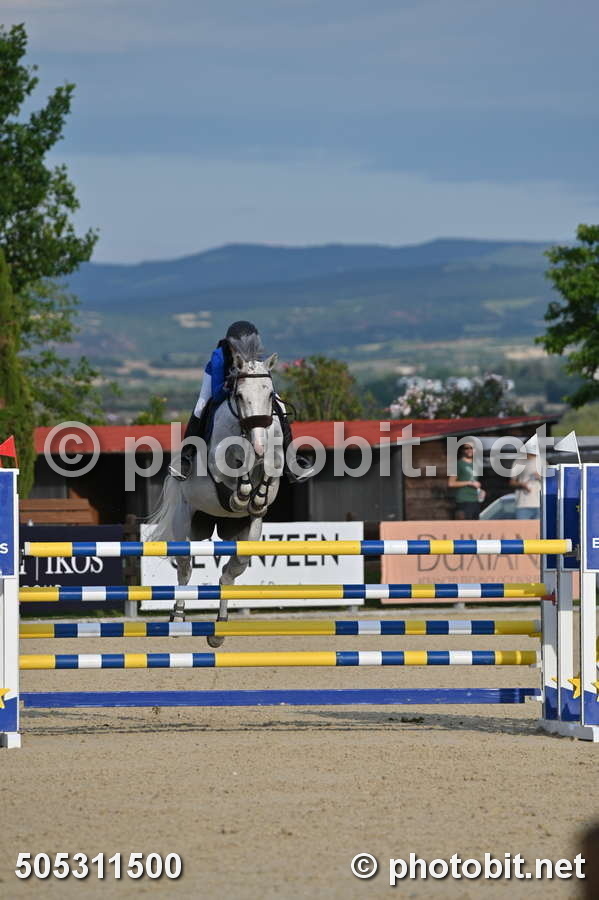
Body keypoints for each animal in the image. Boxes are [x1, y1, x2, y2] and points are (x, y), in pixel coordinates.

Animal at [148, 336, 283, 647]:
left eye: (270, 395)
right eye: (241, 396)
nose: (259, 444)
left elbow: (273, 467)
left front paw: (258, 495)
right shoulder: (218, 462)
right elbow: (236, 463)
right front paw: (243, 490)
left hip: (245, 536)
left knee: (228, 574)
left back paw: (219, 627)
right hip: (186, 524)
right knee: (185, 570)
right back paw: (178, 618)